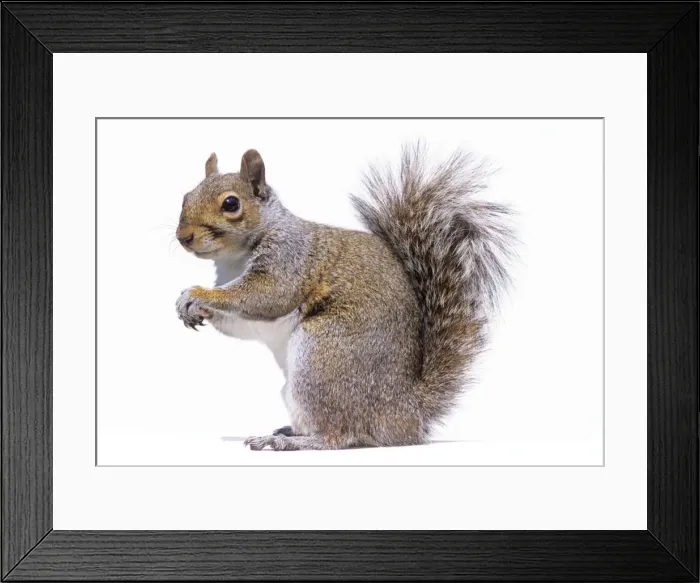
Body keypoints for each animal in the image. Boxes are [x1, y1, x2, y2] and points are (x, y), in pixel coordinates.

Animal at [175, 144, 515, 451]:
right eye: (185, 197)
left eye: (231, 204)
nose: (183, 237)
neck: (235, 258)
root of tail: (403, 414)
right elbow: (240, 324)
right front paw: (192, 308)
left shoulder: (289, 259)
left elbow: (265, 295)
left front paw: (196, 294)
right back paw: (290, 431)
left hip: (322, 356)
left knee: (338, 434)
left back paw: (289, 441)